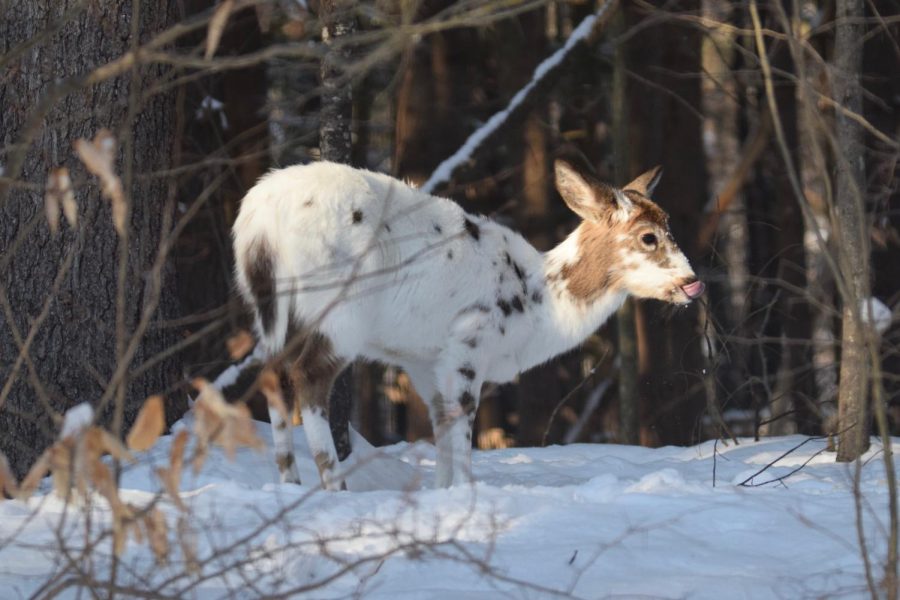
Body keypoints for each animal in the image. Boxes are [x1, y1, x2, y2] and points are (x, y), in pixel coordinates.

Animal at [232, 158, 704, 488]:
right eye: (648, 237)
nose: (692, 283)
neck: (539, 302)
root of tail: (260, 221)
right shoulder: (468, 342)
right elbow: (461, 424)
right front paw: (464, 493)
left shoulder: (423, 360)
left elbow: (441, 424)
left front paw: (443, 491)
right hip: (339, 307)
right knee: (308, 377)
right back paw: (333, 485)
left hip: (265, 306)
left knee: (272, 374)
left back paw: (289, 483)